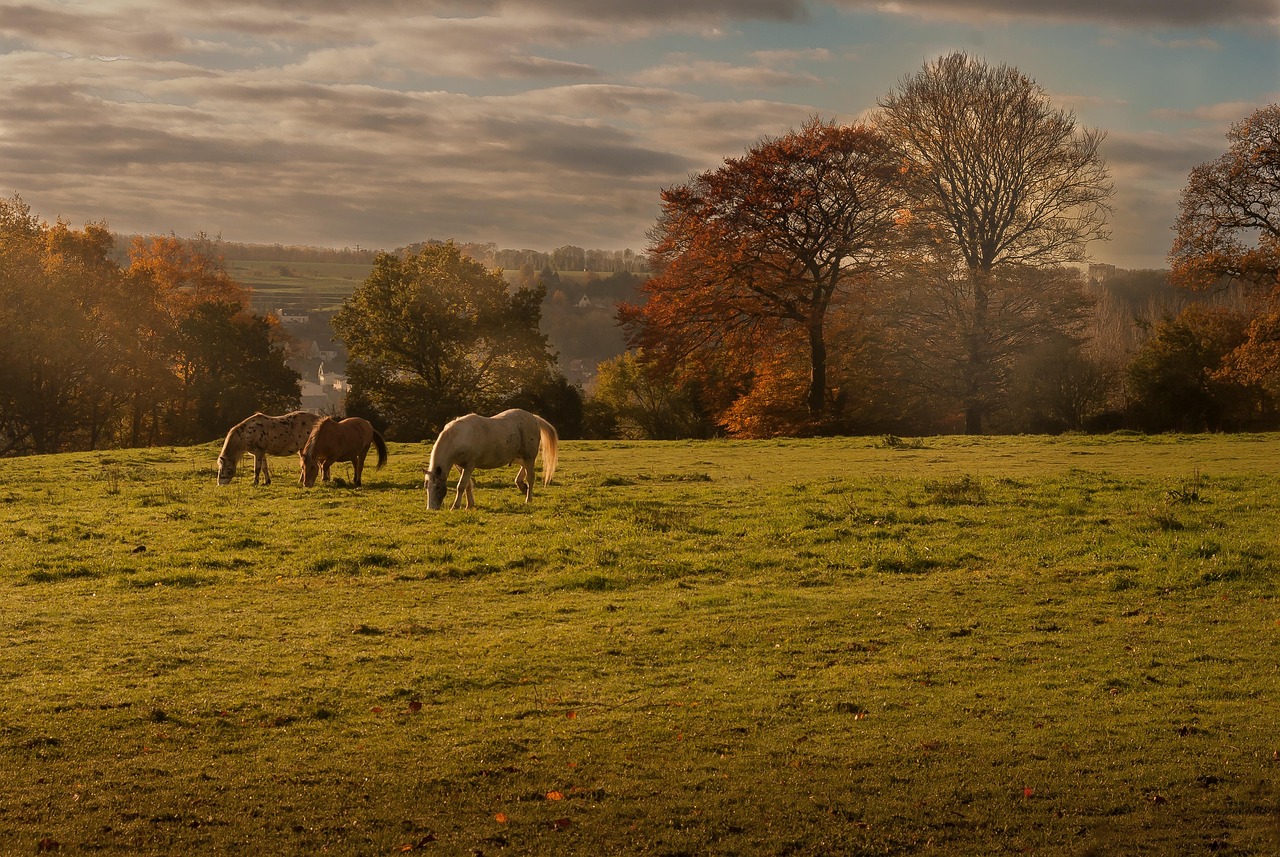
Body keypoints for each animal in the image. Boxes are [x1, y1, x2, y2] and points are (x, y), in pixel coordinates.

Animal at [427, 409, 558, 511]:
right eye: (427, 487)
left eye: (437, 487)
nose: (431, 508)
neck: (458, 437)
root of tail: (533, 417)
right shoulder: (460, 466)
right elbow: (468, 485)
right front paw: (469, 505)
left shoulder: (469, 465)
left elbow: (461, 486)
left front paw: (455, 506)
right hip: (519, 457)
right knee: (523, 468)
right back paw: (522, 486)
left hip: (528, 456)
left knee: (530, 477)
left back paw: (528, 499)